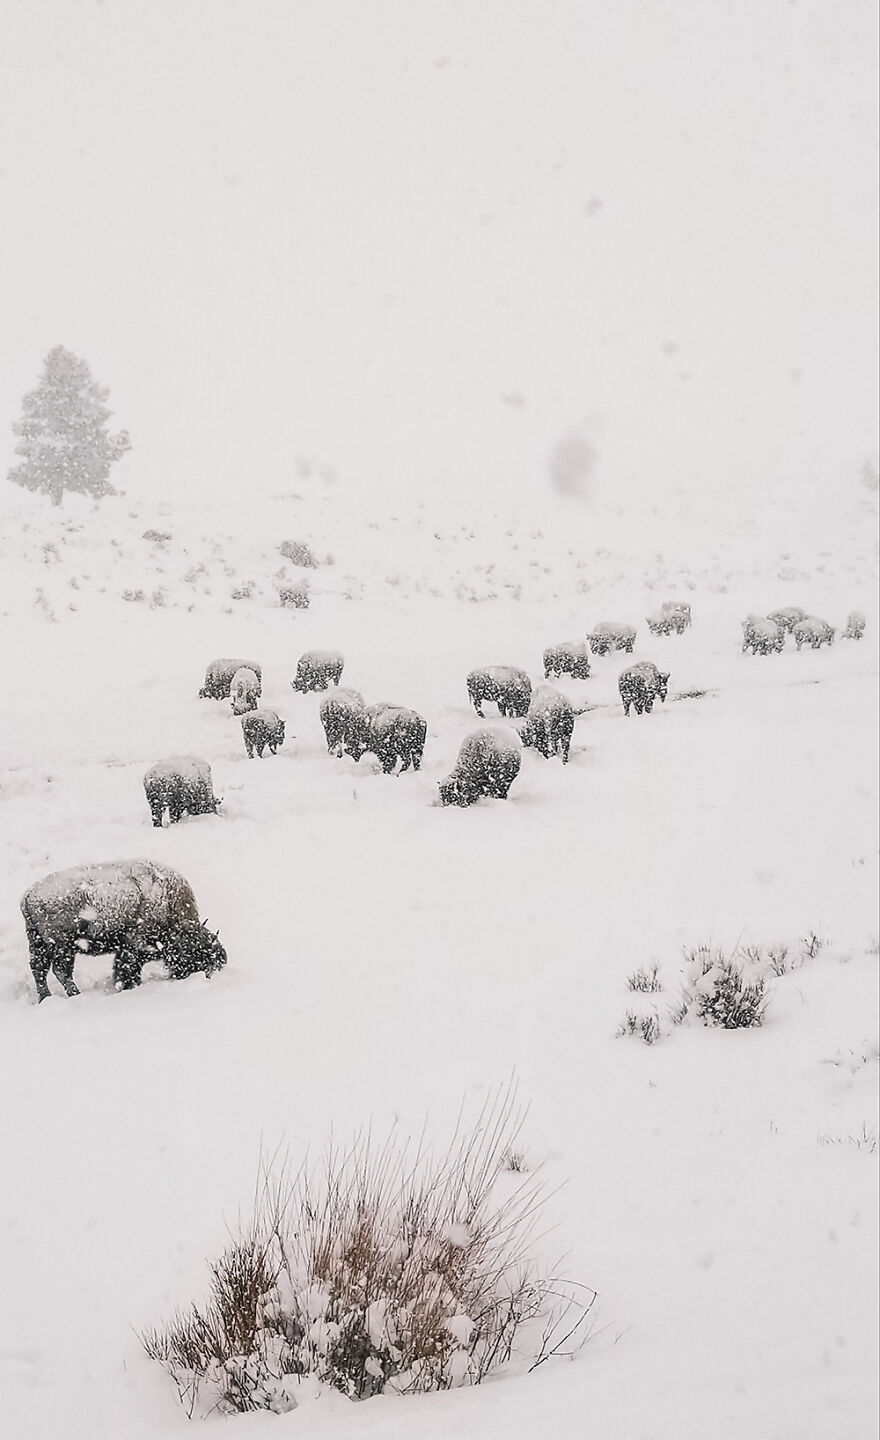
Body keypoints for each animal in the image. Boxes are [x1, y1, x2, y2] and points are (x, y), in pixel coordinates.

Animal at [20, 859, 227, 1002]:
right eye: (197, 953)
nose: (217, 966)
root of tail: (28, 895)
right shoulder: (134, 945)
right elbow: (128, 968)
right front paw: (128, 986)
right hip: (63, 947)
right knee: (60, 971)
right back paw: (75, 994)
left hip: (37, 942)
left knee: (39, 969)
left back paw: (45, 997)